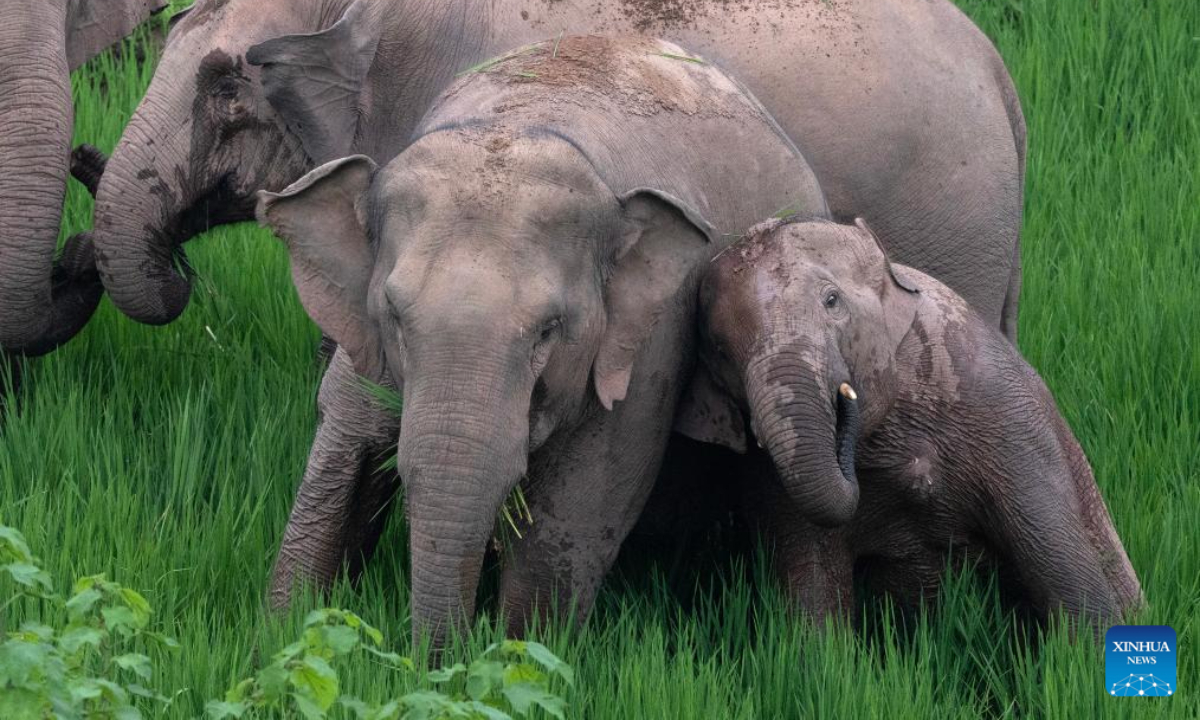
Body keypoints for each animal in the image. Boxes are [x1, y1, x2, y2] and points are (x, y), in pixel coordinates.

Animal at [257, 35, 829, 647]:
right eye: (394, 316)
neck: (524, 121)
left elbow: (584, 499)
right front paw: (286, 632)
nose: (436, 659)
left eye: (549, 331)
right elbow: (347, 433)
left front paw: (521, 654)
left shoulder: (649, 346)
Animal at [675, 217, 1144, 628]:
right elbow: (813, 589)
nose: (844, 405)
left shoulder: (1004, 413)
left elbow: (1062, 566)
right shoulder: (769, 477)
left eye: (832, 301)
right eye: (719, 349)